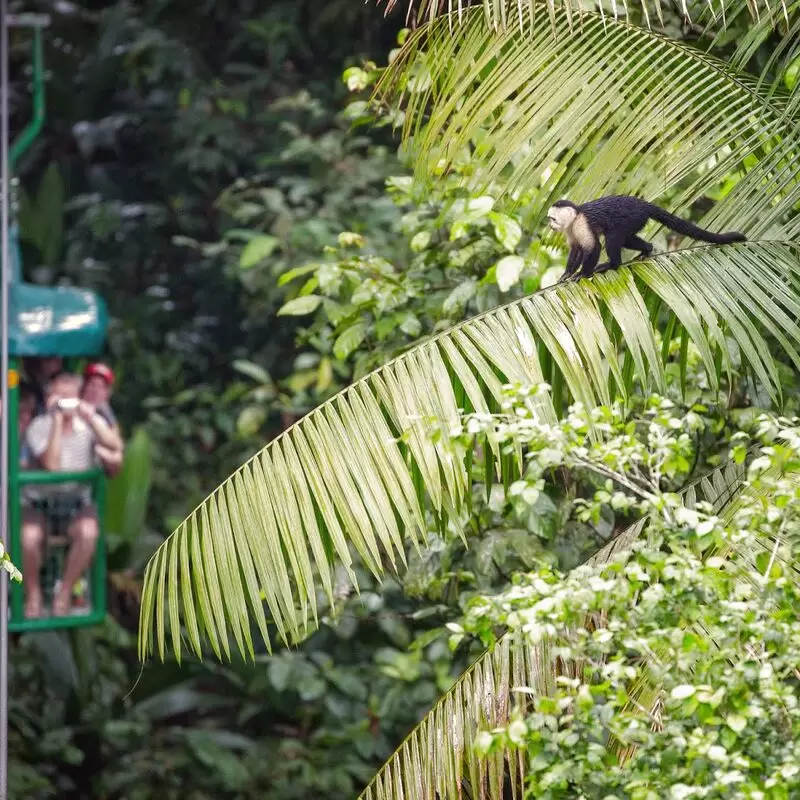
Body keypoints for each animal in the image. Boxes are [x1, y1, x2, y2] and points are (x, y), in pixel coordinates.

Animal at [548, 196, 748, 284]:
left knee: (613, 238)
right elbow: (576, 249)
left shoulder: (581, 224)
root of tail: (642, 204)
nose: (550, 225)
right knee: (626, 239)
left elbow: (593, 247)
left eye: (553, 219)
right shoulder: (570, 229)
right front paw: (567, 273)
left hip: (633, 217)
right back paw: (647, 249)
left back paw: (613, 264)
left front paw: (582, 274)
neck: (576, 216)